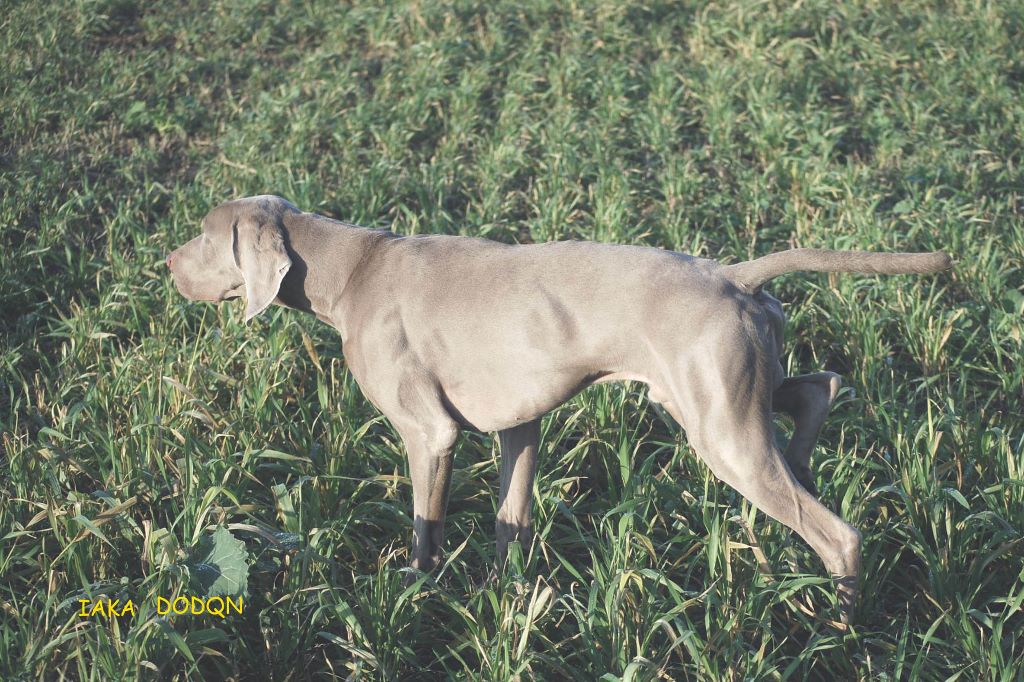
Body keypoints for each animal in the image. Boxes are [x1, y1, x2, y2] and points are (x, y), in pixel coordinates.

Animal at [165, 195, 950, 622]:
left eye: (204, 236)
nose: (165, 265)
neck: (350, 266)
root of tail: (731, 275)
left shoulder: (430, 432)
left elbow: (425, 528)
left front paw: (414, 598)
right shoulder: (519, 424)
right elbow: (511, 521)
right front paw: (507, 602)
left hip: (720, 427)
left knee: (838, 534)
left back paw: (842, 628)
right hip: (730, 394)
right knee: (819, 388)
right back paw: (810, 462)